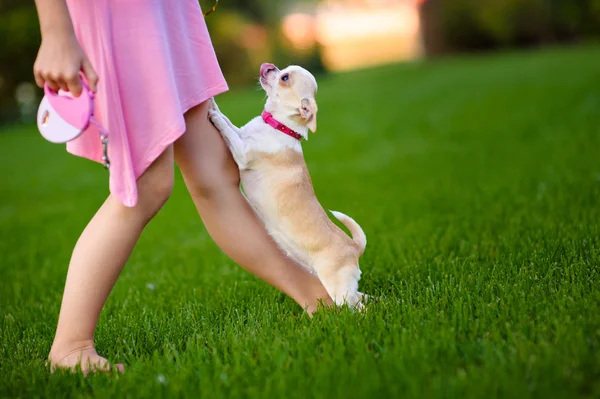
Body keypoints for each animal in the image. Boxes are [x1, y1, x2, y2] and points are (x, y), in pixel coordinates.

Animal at [209, 62, 368, 308]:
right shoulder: (243, 134)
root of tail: (354, 247)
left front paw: (214, 115)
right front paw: (216, 106)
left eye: (284, 77)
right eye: (283, 70)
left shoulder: (242, 153)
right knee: (361, 297)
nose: (268, 66)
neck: (279, 126)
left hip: (339, 291)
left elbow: (227, 131)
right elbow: (231, 124)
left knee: (357, 307)